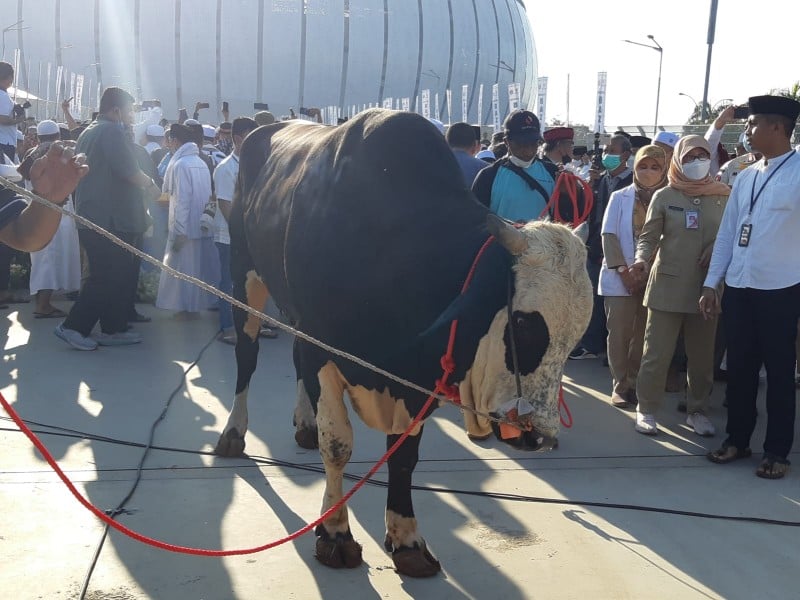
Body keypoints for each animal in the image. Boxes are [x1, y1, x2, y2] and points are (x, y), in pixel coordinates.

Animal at [214, 110, 592, 580]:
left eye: (575, 337)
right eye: (522, 323)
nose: (539, 435)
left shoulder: (414, 377)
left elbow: (404, 456)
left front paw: (407, 539)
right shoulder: (325, 349)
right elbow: (338, 445)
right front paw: (335, 535)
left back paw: (303, 423)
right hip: (244, 277)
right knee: (246, 357)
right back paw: (233, 433)